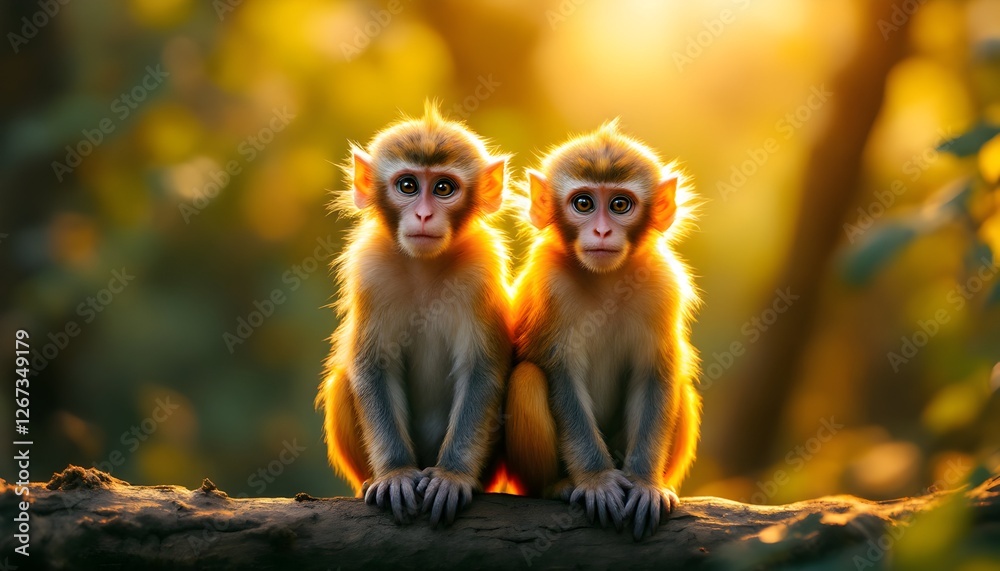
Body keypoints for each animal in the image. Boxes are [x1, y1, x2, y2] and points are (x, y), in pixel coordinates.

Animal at [316, 102, 513, 527]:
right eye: (407, 186)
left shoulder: (481, 269)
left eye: (443, 188)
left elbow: (482, 368)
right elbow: (373, 365)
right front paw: (395, 473)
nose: (423, 215)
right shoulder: (370, 268)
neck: (425, 267)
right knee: (341, 381)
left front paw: (452, 476)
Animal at [504, 120, 702, 540]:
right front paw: (597, 481)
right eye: (583, 204)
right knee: (527, 378)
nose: (602, 232)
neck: (606, 280)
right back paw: (557, 485)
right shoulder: (551, 284)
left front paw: (644, 483)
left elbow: (656, 372)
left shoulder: (664, 285)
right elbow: (558, 372)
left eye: (620, 205)